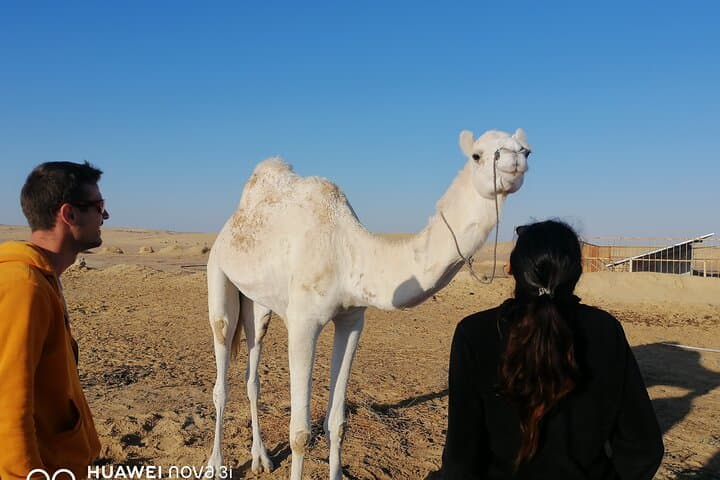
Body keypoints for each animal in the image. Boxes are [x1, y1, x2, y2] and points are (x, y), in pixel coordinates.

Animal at [206, 128, 531, 479]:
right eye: (477, 155)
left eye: (526, 149)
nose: (515, 160)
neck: (348, 252)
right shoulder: (303, 323)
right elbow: (300, 433)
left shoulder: (351, 321)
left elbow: (337, 424)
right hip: (219, 275)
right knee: (221, 367)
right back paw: (216, 464)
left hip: (257, 302)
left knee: (253, 370)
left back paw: (261, 457)